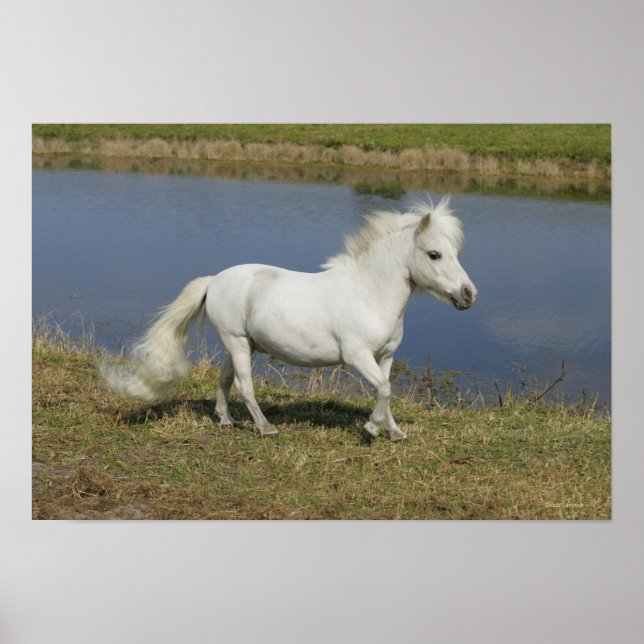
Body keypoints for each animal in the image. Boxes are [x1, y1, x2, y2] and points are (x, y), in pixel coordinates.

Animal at [99, 196, 477, 441]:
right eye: (434, 254)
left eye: (455, 252)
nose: (469, 294)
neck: (368, 292)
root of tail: (215, 280)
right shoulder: (357, 356)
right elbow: (383, 390)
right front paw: (371, 430)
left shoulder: (385, 356)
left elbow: (386, 391)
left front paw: (394, 432)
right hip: (237, 342)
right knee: (244, 385)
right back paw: (266, 428)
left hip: (244, 343)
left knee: (225, 379)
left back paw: (226, 421)